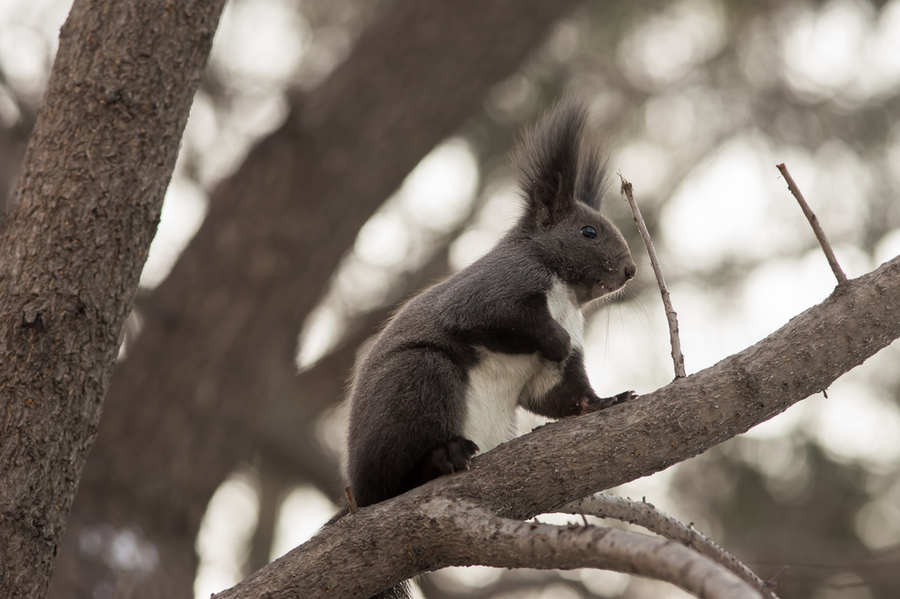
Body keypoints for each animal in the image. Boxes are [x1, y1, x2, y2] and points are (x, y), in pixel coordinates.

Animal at [342, 101, 632, 596]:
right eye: (589, 232)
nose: (631, 270)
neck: (564, 292)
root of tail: (356, 494)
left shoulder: (556, 368)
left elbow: (562, 393)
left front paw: (604, 401)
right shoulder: (493, 290)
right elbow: (501, 318)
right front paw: (554, 339)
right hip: (420, 378)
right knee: (392, 483)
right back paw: (440, 459)